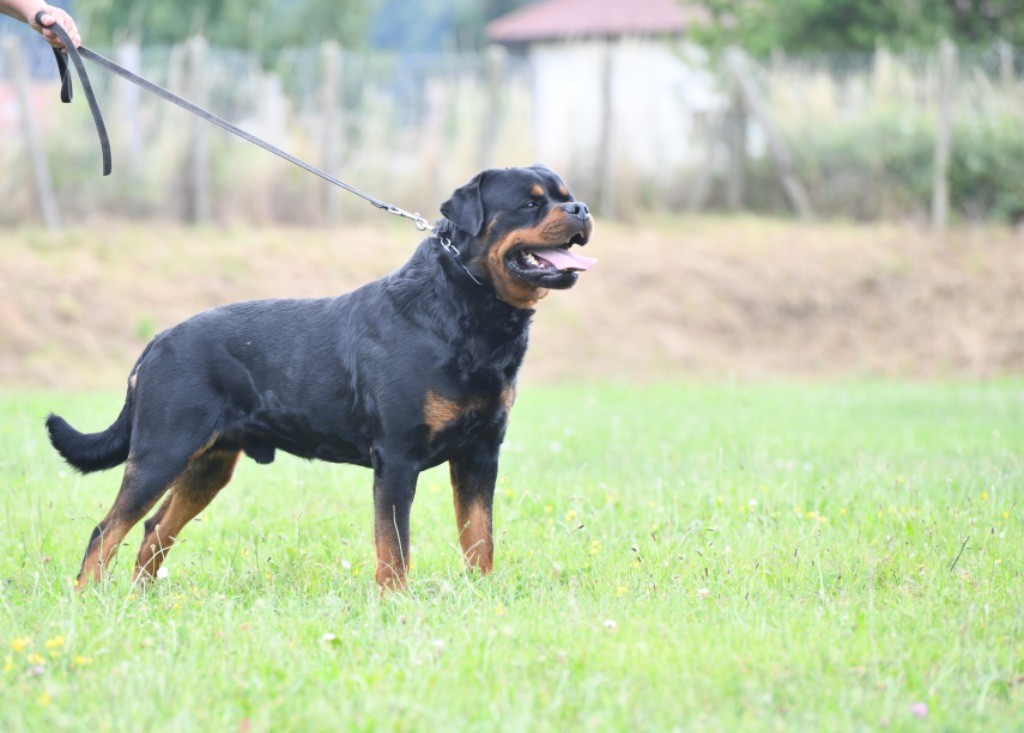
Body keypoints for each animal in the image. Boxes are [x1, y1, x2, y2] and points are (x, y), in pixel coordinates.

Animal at [46, 164, 593, 589]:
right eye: (530, 203)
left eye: (565, 196)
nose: (582, 210)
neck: (464, 310)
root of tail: (155, 342)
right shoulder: (397, 457)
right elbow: (394, 548)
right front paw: (394, 604)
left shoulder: (480, 452)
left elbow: (480, 539)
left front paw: (480, 596)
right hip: (162, 451)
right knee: (107, 531)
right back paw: (88, 599)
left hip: (208, 465)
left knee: (152, 533)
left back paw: (143, 600)